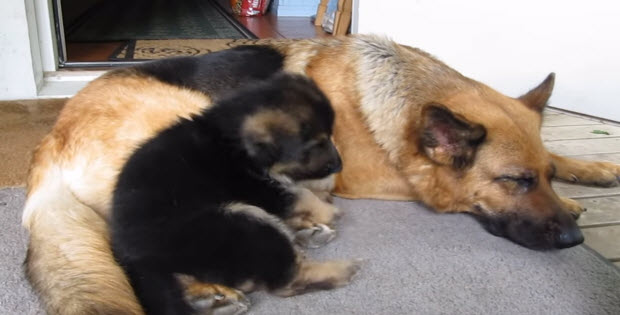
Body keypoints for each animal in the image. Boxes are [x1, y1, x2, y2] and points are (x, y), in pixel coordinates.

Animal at [109, 74, 356, 315]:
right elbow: (298, 195)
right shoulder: (254, 186)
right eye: (316, 144)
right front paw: (329, 210)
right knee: (285, 281)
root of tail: (133, 259)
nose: (339, 166)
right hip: (237, 222)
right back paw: (342, 269)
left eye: (330, 136)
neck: (234, 140)